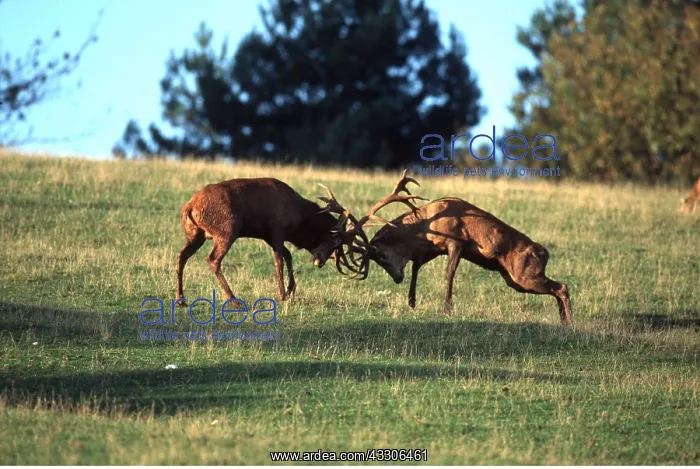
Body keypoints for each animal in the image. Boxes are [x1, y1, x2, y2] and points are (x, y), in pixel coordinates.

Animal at [175, 177, 349, 307]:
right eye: (335, 240)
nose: (320, 262)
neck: (299, 217)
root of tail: (189, 207)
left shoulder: (267, 235)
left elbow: (287, 255)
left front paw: (291, 290)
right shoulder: (278, 228)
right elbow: (279, 260)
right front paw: (282, 295)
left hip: (195, 234)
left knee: (182, 255)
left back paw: (181, 299)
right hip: (228, 229)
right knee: (213, 259)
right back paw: (234, 300)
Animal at [322, 170, 574, 325]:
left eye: (382, 255)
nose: (396, 278)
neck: (425, 225)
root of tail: (545, 253)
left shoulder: (456, 240)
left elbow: (449, 273)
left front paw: (447, 308)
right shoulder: (432, 248)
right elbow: (416, 266)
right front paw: (412, 301)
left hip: (524, 275)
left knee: (562, 286)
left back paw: (569, 321)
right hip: (514, 279)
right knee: (559, 288)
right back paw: (563, 321)